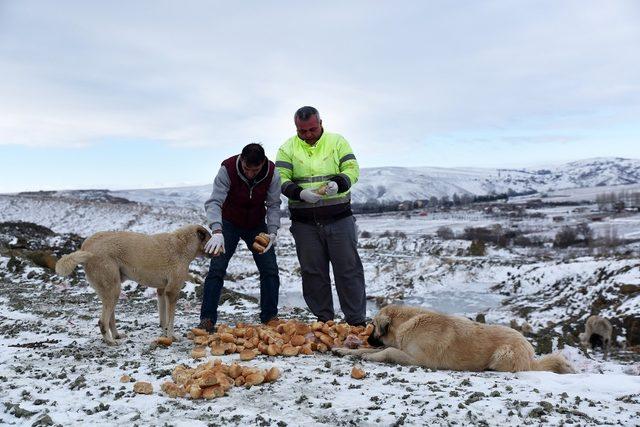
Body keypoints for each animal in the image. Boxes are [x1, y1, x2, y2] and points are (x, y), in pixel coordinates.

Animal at [55, 226, 210, 346]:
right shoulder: (172, 292)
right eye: (210, 237)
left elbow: (163, 319)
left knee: (110, 318)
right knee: (102, 321)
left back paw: (116, 336)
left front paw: (165, 333)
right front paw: (172, 336)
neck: (183, 244)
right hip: (113, 289)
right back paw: (110, 341)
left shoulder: (161, 291)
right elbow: (171, 320)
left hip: (111, 290)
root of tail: (86, 247)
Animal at [336, 304, 576, 374]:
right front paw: (346, 350)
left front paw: (369, 356)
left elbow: (386, 351)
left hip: (503, 354)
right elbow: (368, 350)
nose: (369, 339)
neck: (408, 323)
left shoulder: (417, 359)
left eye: (373, 326)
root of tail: (531, 356)